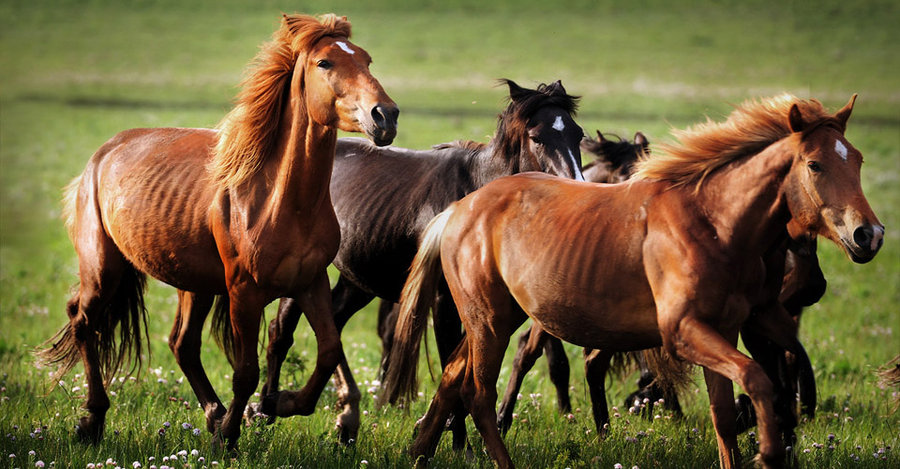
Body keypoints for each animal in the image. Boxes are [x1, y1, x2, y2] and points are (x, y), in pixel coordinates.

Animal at [38, 12, 398, 448]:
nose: (385, 116)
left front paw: (280, 404)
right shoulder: (244, 292)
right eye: (324, 63)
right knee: (84, 322)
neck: (280, 200)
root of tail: (103, 153)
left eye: (366, 59)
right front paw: (229, 439)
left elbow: (328, 350)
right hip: (103, 269)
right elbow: (246, 371)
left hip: (195, 285)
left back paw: (212, 414)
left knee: (182, 344)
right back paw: (92, 420)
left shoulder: (309, 282)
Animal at [250, 80, 588, 442]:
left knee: (333, 326)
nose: (577, 189)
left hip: (359, 279)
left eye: (578, 134)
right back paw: (265, 409)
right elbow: (450, 359)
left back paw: (344, 414)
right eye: (537, 137)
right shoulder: (443, 300)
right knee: (281, 331)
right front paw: (457, 440)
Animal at [384, 93, 884, 466]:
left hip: (497, 318)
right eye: (815, 165)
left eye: (859, 160)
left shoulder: (728, 329)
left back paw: (420, 450)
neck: (712, 222)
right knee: (479, 392)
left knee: (455, 376)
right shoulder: (683, 332)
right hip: (488, 321)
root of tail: (459, 209)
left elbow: (728, 411)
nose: (869, 234)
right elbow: (758, 378)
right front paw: (769, 451)